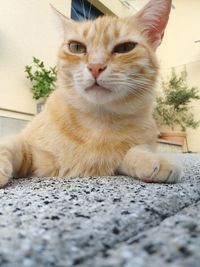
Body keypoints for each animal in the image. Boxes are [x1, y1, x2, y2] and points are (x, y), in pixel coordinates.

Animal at [0, 0, 181, 188]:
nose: (95, 66)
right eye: (76, 47)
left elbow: (137, 149)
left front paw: (152, 160)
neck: (98, 121)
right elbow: (9, 145)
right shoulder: (29, 148)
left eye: (125, 48)